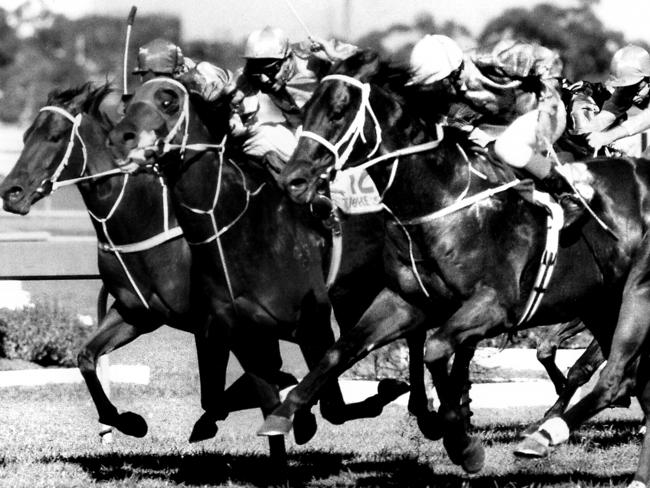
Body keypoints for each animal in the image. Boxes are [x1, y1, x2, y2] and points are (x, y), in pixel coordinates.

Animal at [268, 49, 648, 484]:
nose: (293, 180)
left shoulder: (494, 305)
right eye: (306, 109)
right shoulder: (406, 301)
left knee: (618, 377)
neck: (443, 199)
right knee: (632, 379)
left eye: (337, 112)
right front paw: (284, 413)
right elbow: (341, 350)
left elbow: (436, 351)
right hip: (603, 305)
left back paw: (545, 434)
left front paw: (463, 444)